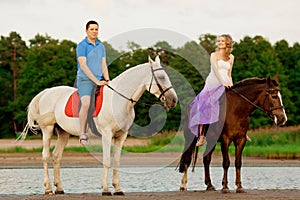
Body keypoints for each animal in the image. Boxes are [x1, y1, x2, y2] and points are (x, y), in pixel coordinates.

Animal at [22, 56, 178, 195]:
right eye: (161, 77)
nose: (173, 100)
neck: (118, 100)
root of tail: (47, 92)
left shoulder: (121, 136)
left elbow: (116, 160)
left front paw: (118, 189)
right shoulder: (107, 134)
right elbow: (107, 160)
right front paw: (106, 189)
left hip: (63, 133)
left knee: (56, 156)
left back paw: (59, 188)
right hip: (47, 130)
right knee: (45, 156)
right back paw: (48, 188)